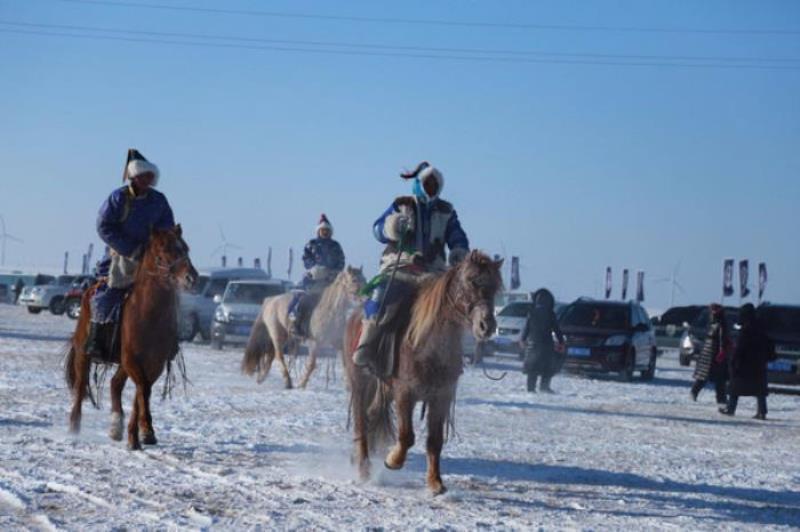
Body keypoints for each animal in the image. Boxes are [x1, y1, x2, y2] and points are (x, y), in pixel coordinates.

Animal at [65, 227, 198, 450]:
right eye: (162, 252)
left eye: (186, 248)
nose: (191, 278)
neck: (149, 314)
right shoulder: (132, 360)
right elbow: (142, 390)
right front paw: (142, 432)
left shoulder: (153, 364)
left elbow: (142, 392)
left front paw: (140, 433)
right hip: (84, 353)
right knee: (81, 385)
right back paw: (74, 428)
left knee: (115, 384)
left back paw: (116, 427)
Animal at [342, 249, 500, 494]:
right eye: (471, 281)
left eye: (495, 287)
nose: (487, 326)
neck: (428, 345)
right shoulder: (405, 394)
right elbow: (407, 436)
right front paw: (392, 461)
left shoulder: (441, 397)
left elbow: (434, 441)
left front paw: (435, 482)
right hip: (360, 383)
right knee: (361, 422)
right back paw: (364, 469)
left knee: (372, 415)